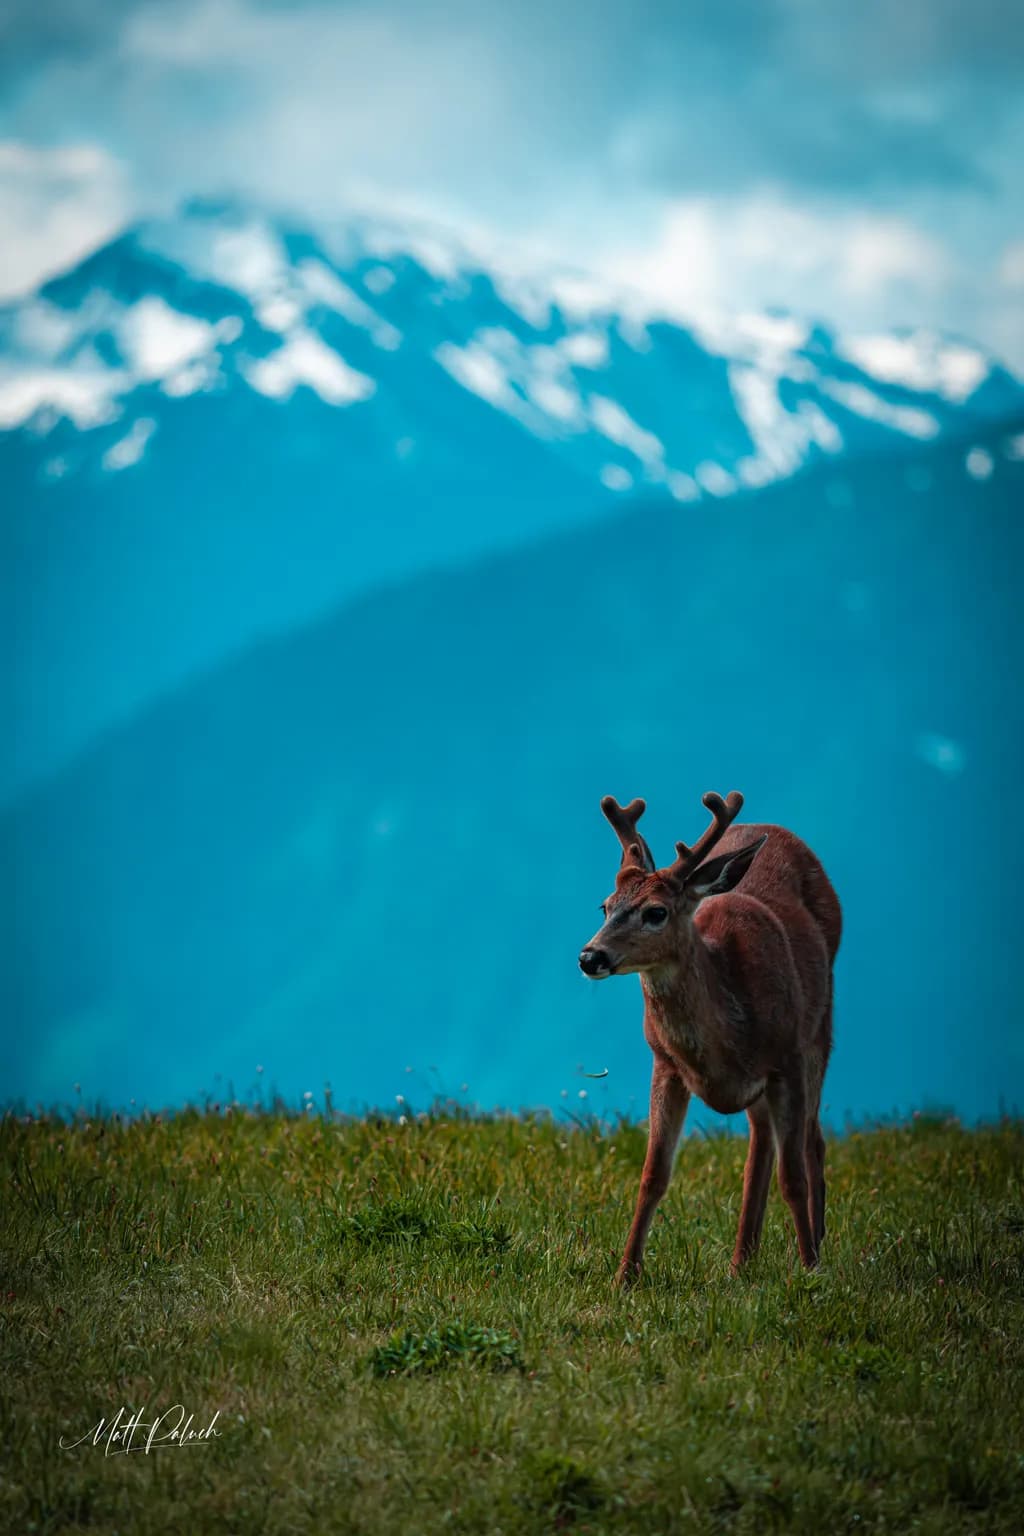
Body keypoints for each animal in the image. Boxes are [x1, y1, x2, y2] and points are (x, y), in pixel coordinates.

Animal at [578, 790, 841, 1286]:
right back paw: (741, 1260)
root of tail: (773, 828)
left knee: (811, 1140)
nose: (590, 956)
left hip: (820, 1029)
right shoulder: (664, 1064)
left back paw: (814, 1245)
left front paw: (810, 1269)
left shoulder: (788, 1058)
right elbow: (653, 1175)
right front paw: (625, 1274)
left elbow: (793, 1174)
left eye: (656, 912)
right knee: (761, 1142)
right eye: (605, 906)